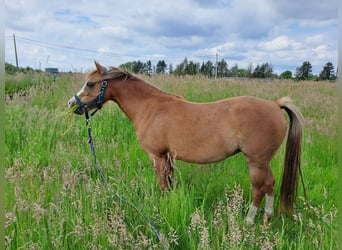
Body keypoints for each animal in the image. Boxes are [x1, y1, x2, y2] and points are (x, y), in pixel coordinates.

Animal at [68, 61, 304, 224]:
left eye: (90, 84)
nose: (71, 104)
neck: (150, 107)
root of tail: (275, 105)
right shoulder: (168, 157)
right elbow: (171, 183)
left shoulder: (157, 156)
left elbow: (162, 184)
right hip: (263, 161)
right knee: (270, 183)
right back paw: (267, 217)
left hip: (255, 161)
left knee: (259, 187)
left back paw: (248, 220)